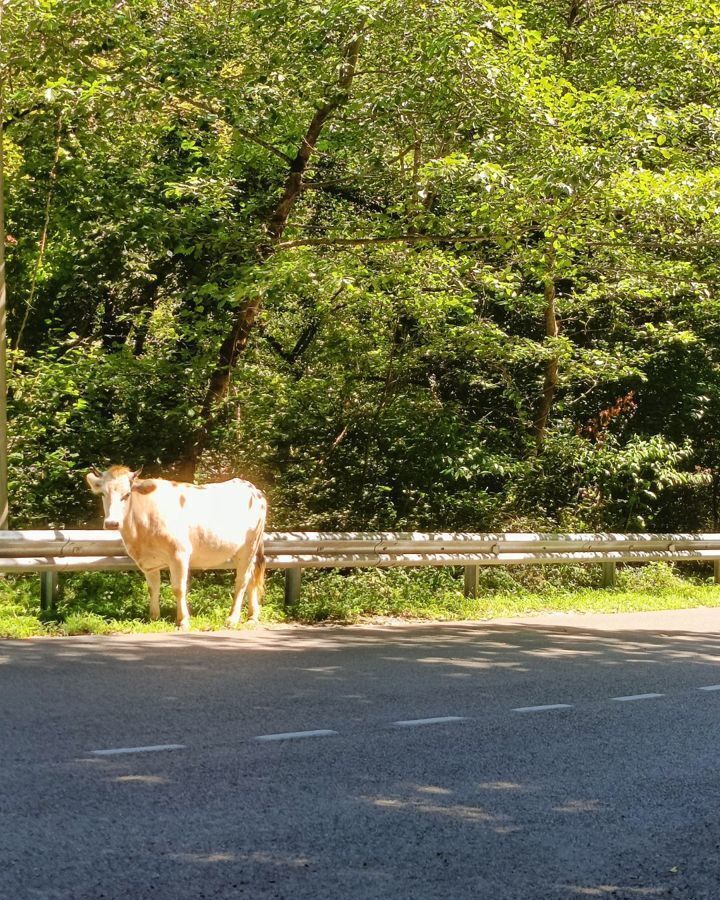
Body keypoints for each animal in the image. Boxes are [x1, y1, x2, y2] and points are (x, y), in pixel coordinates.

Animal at [86, 468, 268, 628]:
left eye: (127, 494)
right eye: (102, 494)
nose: (112, 523)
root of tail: (253, 489)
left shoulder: (179, 555)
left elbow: (178, 589)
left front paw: (183, 620)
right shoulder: (148, 562)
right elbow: (153, 589)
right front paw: (153, 617)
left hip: (249, 546)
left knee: (242, 581)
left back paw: (232, 618)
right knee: (251, 578)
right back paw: (252, 617)